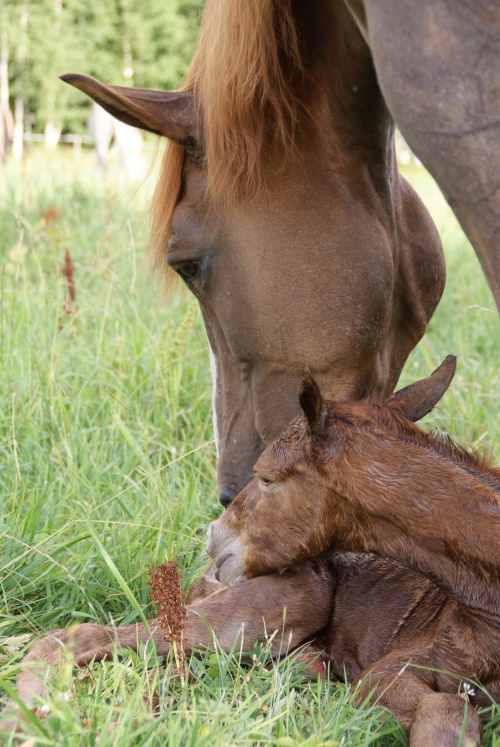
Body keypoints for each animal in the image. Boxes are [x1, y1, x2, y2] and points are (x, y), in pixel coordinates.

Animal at [2, 360, 496, 744]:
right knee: (81, 636)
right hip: (277, 605)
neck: (485, 600)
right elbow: (449, 710)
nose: (214, 539)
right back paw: (30, 718)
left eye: (266, 477)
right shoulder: (386, 672)